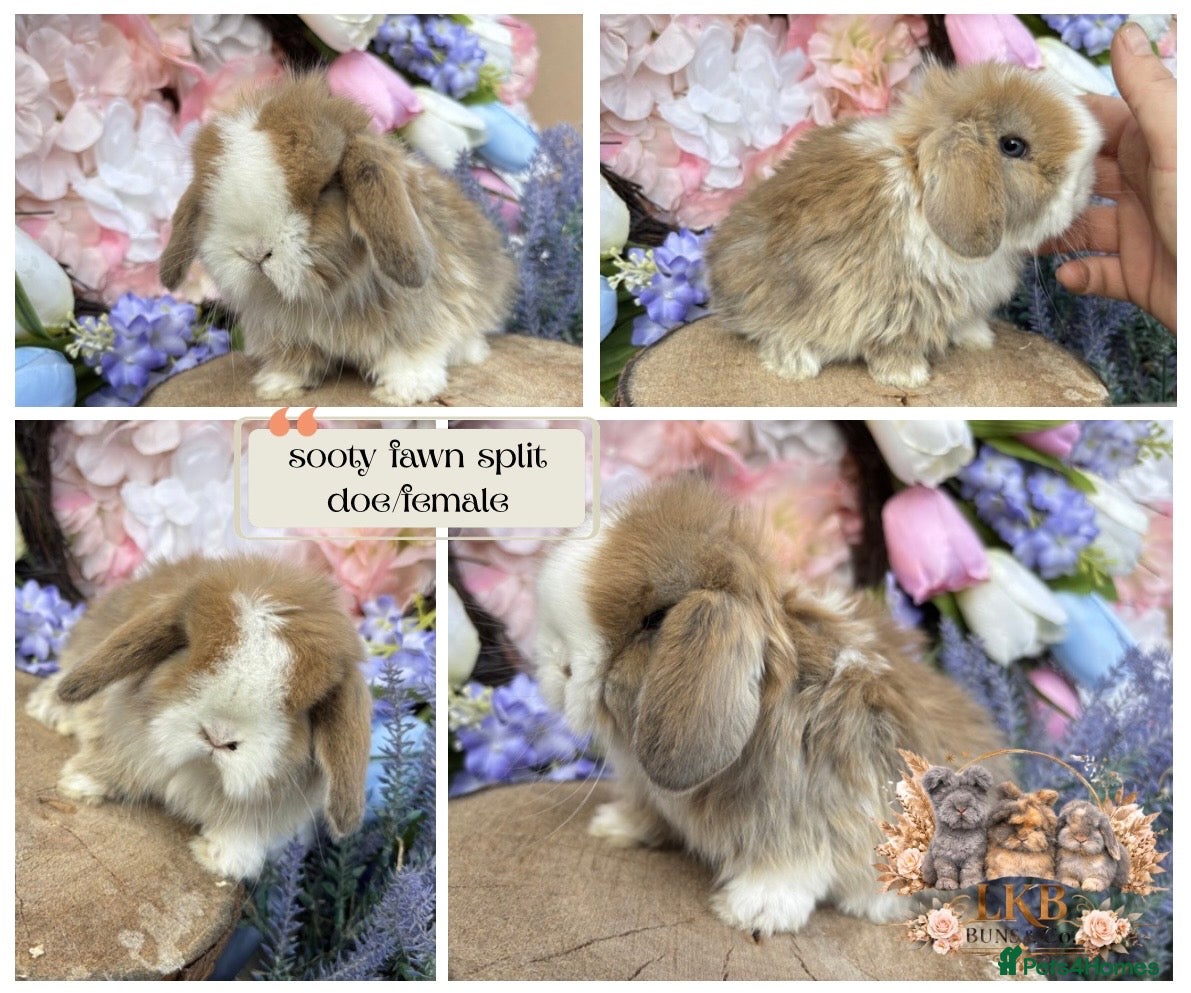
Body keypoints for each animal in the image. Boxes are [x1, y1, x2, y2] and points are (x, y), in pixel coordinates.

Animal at [24, 554, 373, 880]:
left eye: (307, 705)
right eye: (188, 648)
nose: (217, 736)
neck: (201, 771)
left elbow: (248, 831)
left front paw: (221, 860)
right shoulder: (119, 733)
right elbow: (112, 757)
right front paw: (80, 785)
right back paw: (49, 710)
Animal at [161, 73, 517, 405]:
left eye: (324, 189)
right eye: (211, 193)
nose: (254, 252)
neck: (325, 297)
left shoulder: (423, 316)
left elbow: (412, 352)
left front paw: (405, 391)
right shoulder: (287, 334)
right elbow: (292, 361)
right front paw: (277, 386)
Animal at [534, 477, 1002, 935]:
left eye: (655, 619)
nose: (557, 668)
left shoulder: (805, 817)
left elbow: (789, 869)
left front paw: (751, 912)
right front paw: (612, 826)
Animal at [706, 61, 1101, 389]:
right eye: (1013, 145)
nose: (1081, 190)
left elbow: (965, 321)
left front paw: (979, 340)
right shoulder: (897, 306)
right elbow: (895, 343)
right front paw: (908, 377)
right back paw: (797, 364)